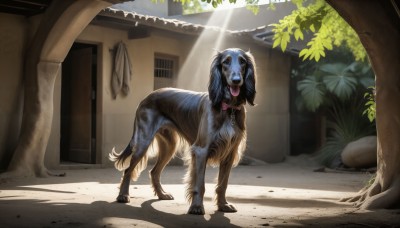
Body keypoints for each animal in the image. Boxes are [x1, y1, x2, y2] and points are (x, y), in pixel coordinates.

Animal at [109, 47, 256, 215]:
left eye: (242, 61)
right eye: (226, 61)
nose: (236, 80)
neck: (228, 108)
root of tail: (147, 97)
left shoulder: (229, 153)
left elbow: (223, 183)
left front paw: (223, 204)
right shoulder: (201, 150)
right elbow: (199, 184)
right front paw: (197, 207)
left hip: (169, 146)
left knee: (154, 172)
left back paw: (162, 194)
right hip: (143, 142)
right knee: (128, 170)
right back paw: (123, 195)